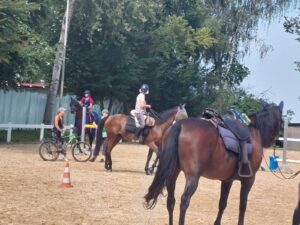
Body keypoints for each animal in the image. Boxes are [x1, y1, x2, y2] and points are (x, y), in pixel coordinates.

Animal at [145, 101, 284, 224]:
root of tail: (180, 125)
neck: (254, 132)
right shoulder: (248, 180)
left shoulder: (227, 180)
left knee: (171, 200)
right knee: (184, 201)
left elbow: (222, 203)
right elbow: (242, 206)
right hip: (192, 177)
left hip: (173, 173)